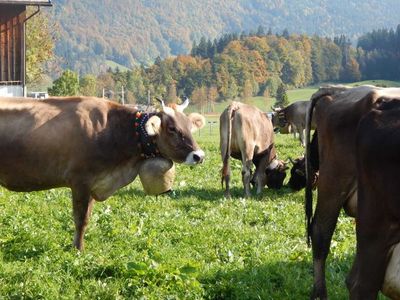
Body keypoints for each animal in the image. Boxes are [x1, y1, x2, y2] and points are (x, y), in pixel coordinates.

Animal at [0, 96, 206, 251]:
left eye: (189, 126)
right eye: (172, 128)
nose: (199, 156)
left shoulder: (94, 183)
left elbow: (87, 217)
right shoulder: (80, 181)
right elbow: (81, 219)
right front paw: (78, 249)